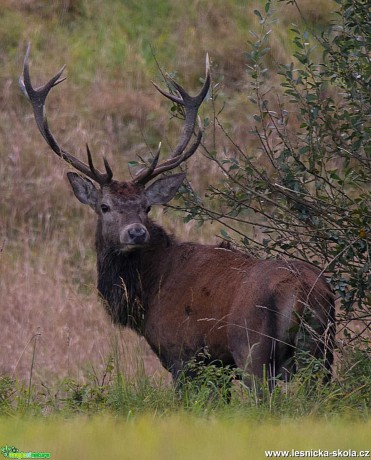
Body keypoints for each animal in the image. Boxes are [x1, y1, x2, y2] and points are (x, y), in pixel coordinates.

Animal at [18, 45, 336, 394]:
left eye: (146, 206)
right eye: (104, 206)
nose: (136, 233)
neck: (148, 293)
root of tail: (303, 292)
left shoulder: (183, 355)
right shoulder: (216, 366)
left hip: (252, 348)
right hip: (323, 352)